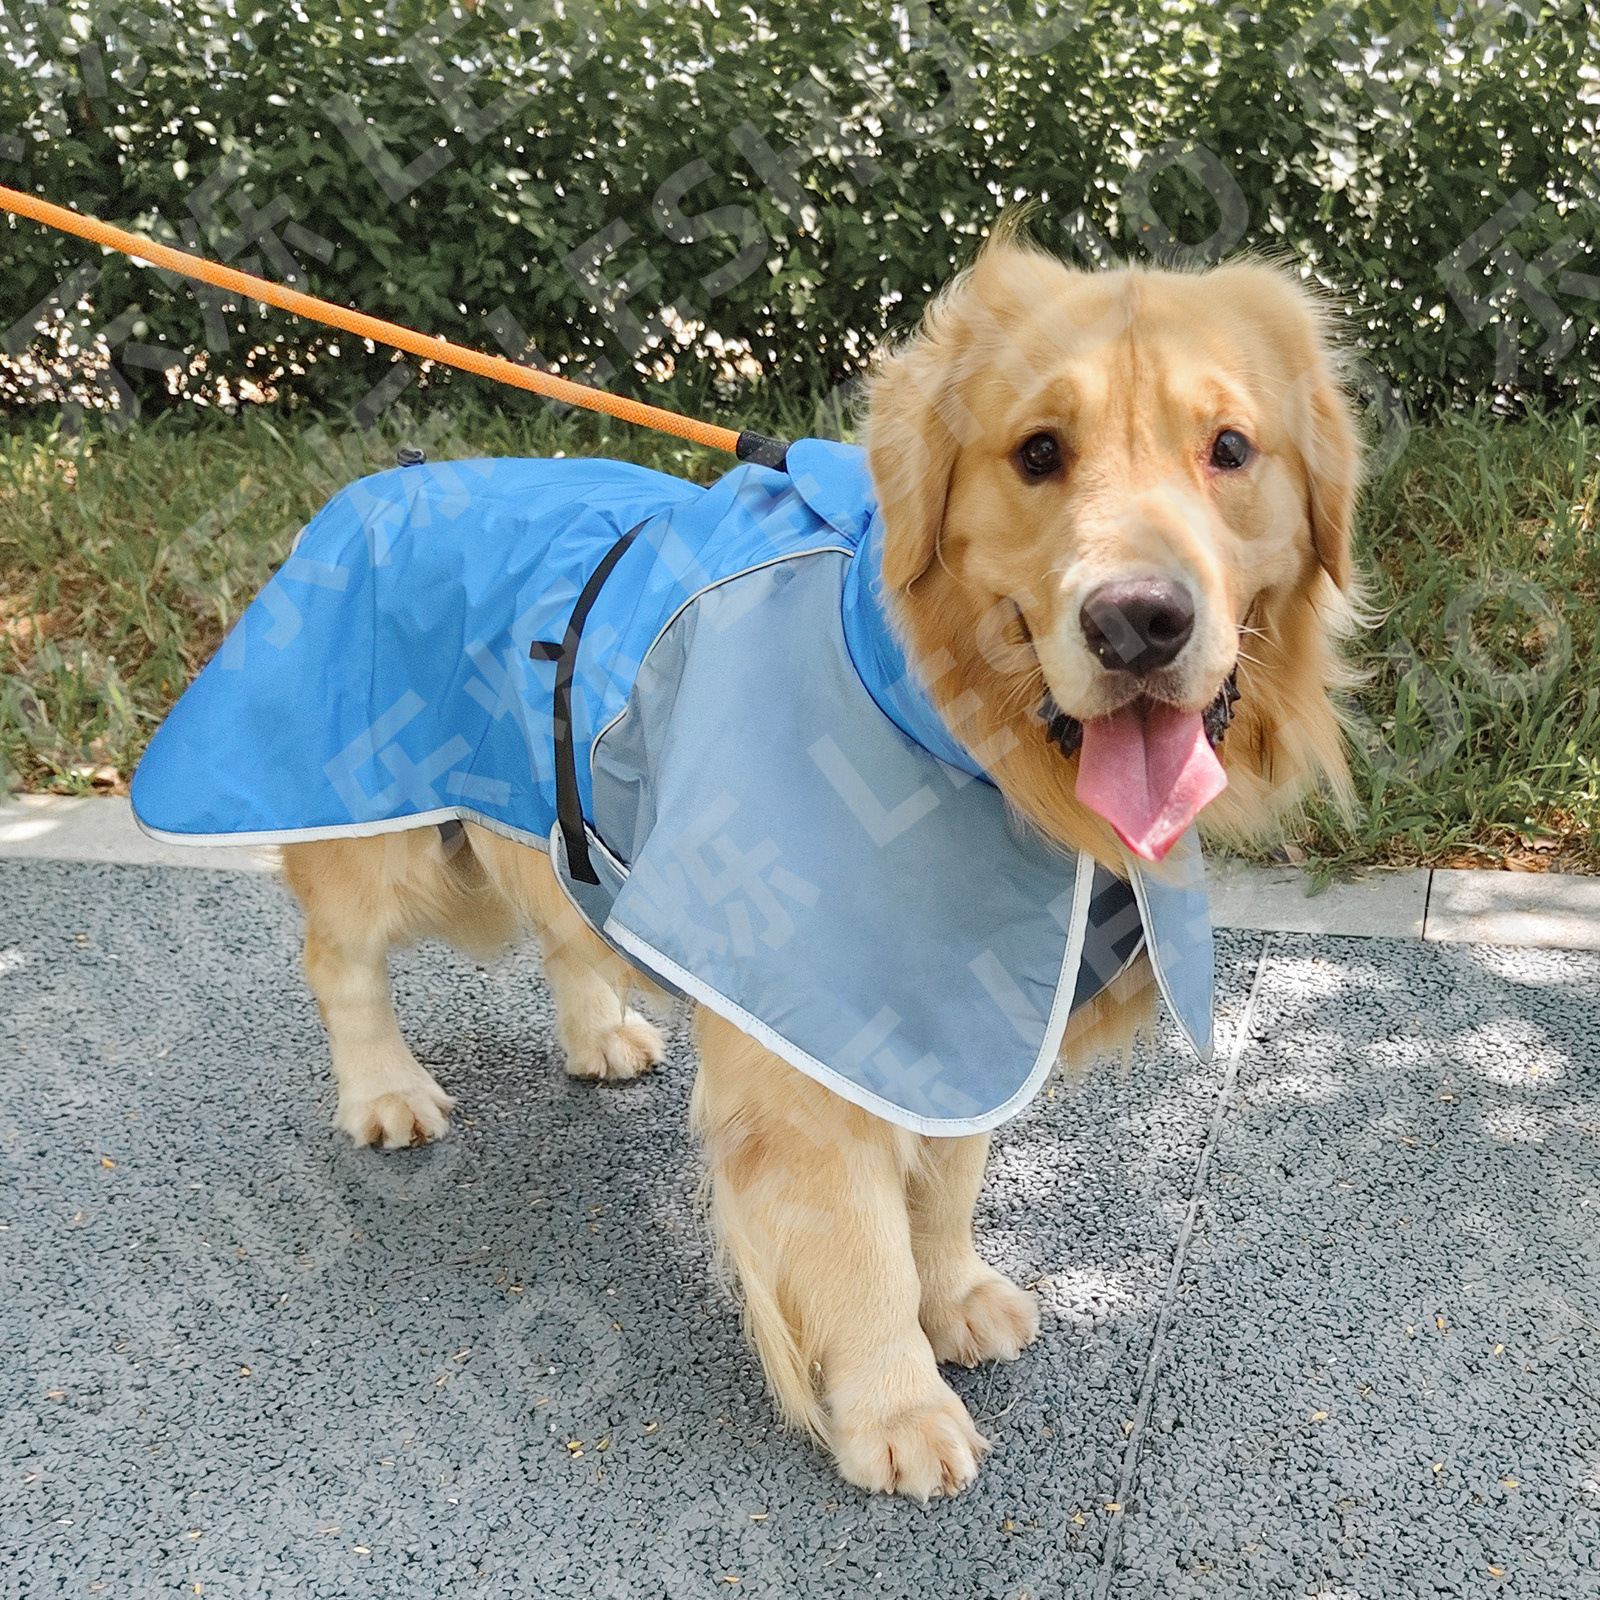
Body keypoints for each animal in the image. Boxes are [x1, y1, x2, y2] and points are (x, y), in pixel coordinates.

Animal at [281, 236, 1356, 1497]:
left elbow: (944, 1185)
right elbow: (859, 1240)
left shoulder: (949, 1009)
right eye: (1038, 452)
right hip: (375, 826)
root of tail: (387, 476)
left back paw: (599, 1032)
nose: (1137, 621)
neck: (938, 714)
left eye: (1229, 449)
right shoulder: (816, 1049)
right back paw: (383, 1091)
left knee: (561, 917)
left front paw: (955, 1298)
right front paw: (896, 1405)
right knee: (340, 957)